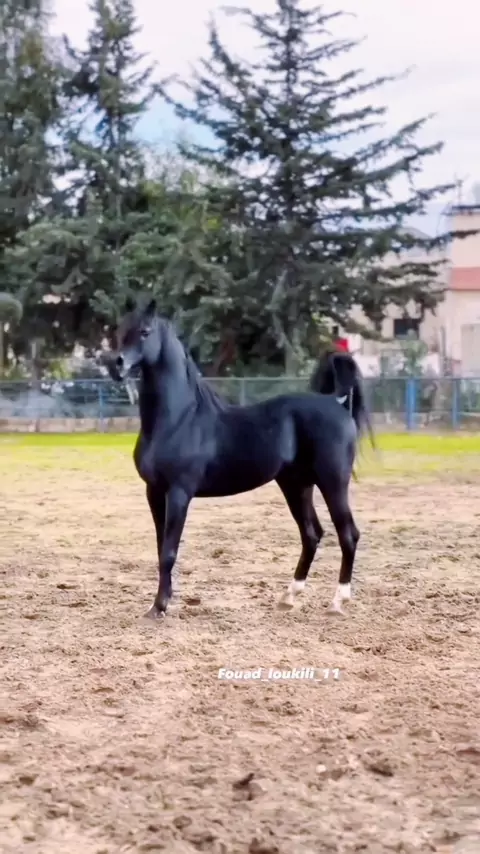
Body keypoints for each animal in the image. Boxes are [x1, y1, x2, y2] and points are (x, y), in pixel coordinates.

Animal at [106, 296, 374, 620]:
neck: (178, 419)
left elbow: (169, 552)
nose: (116, 364)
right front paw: (161, 601)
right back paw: (288, 597)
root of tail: (338, 402)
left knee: (348, 534)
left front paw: (159, 607)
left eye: (145, 332)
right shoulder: (154, 492)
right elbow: (161, 549)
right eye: (120, 331)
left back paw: (337, 602)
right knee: (312, 535)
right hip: (297, 486)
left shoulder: (179, 493)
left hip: (333, 484)